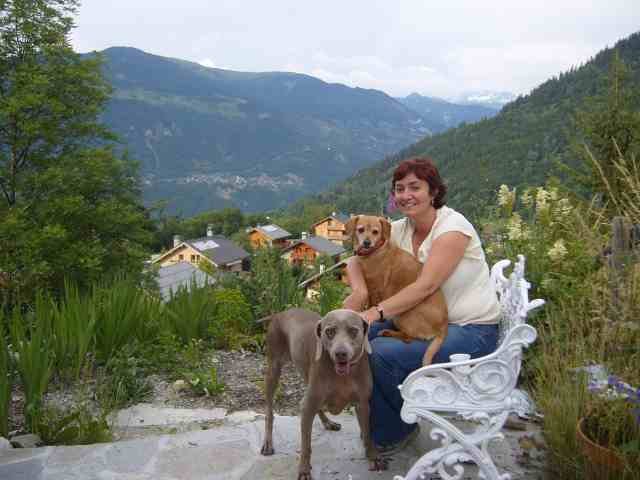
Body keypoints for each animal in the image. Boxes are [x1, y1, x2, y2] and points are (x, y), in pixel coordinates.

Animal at [260, 310, 384, 478]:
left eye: (353, 330)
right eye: (329, 331)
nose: (340, 353)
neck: (342, 376)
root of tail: (280, 313)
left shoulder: (362, 404)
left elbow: (367, 433)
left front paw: (373, 457)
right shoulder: (307, 407)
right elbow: (306, 445)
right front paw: (304, 470)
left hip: (306, 374)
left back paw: (328, 422)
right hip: (274, 368)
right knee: (269, 412)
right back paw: (268, 443)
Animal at [348, 216, 448, 366]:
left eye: (375, 232)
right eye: (360, 230)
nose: (367, 243)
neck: (376, 251)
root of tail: (443, 325)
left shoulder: (375, 288)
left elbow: (372, 305)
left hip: (402, 316)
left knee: (408, 338)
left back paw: (387, 333)